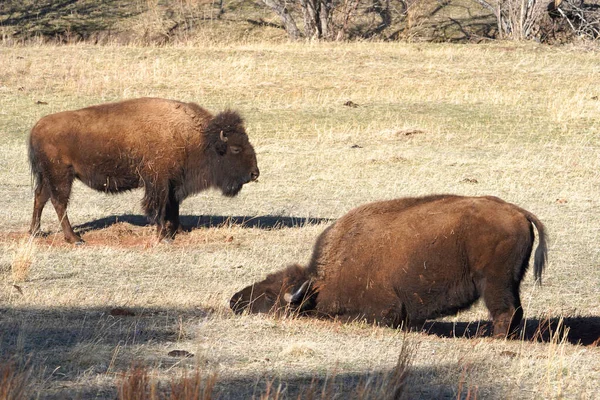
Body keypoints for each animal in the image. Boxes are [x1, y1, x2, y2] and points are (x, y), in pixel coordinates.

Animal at [28, 98, 258, 242]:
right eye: (236, 148)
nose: (255, 173)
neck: (195, 138)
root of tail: (36, 128)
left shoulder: (173, 183)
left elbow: (173, 207)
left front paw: (178, 231)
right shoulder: (158, 182)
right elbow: (159, 207)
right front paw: (163, 236)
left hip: (48, 177)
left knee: (40, 198)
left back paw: (35, 232)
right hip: (61, 176)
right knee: (59, 203)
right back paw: (74, 238)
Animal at [231, 195, 548, 338]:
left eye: (271, 295)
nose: (234, 301)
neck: (321, 281)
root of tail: (518, 212)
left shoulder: (385, 309)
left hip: (495, 282)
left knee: (505, 311)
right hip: (509, 282)